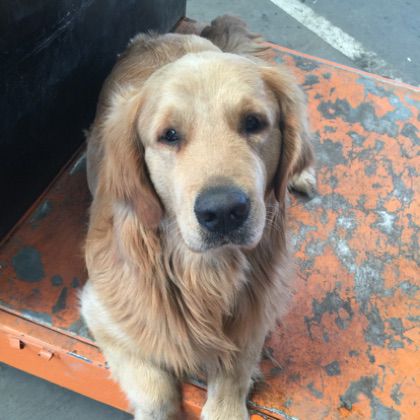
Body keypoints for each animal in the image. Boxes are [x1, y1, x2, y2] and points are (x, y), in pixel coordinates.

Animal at [81, 16, 315, 420]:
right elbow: (156, 394)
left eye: (254, 122)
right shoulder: (101, 311)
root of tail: (156, 37)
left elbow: (233, 377)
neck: (203, 273)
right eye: (169, 135)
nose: (223, 212)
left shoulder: (255, 313)